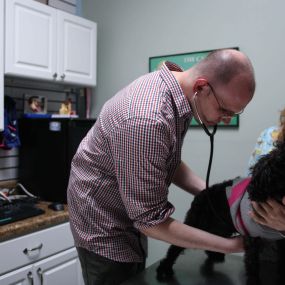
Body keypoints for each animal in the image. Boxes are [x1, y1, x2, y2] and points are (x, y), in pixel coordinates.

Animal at [156, 140, 284, 284]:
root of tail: (201, 194)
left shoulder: (281, 241)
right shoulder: (251, 238)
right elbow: (252, 265)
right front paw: (254, 281)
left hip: (221, 226)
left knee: (212, 239)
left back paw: (214, 255)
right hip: (196, 222)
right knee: (177, 245)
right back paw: (165, 268)